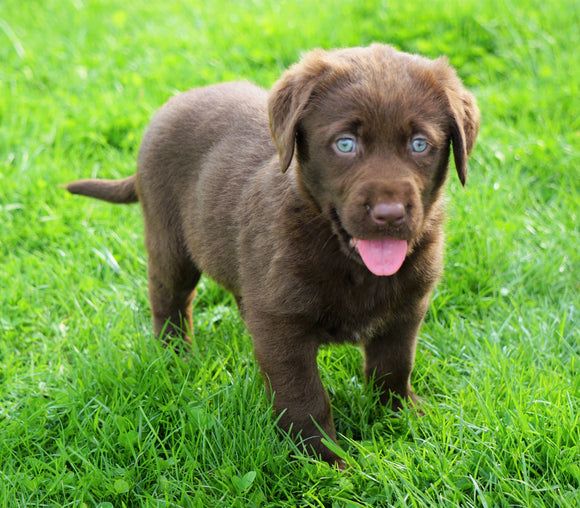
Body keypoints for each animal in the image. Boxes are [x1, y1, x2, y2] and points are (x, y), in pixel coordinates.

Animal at [65, 45, 478, 466]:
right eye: (345, 144)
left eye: (419, 144)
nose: (389, 214)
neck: (350, 260)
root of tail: (177, 100)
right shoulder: (282, 327)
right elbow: (305, 397)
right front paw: (324, 463)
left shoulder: (407, 310)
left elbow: (394, 366)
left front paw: (401, 416)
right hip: (170, 243)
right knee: (169, 303)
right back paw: (176, 359)